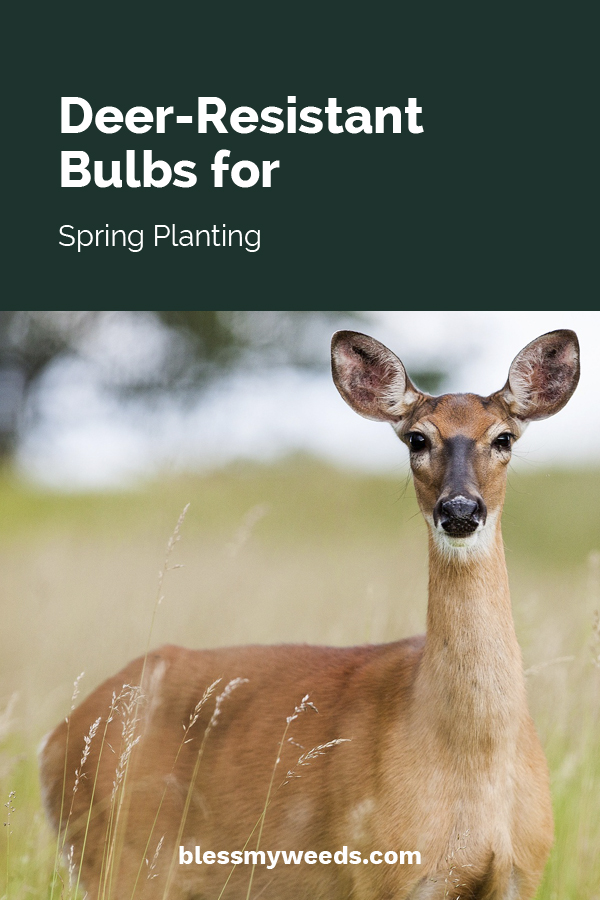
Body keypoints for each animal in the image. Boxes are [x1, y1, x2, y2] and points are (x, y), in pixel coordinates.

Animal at [39, 328, 580, 900]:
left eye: (504, 438)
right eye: (416, 439)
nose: (459, 510)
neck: (472, 761)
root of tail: (53, 742)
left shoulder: (520, 873)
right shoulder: (381, 870)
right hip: (116, 859)